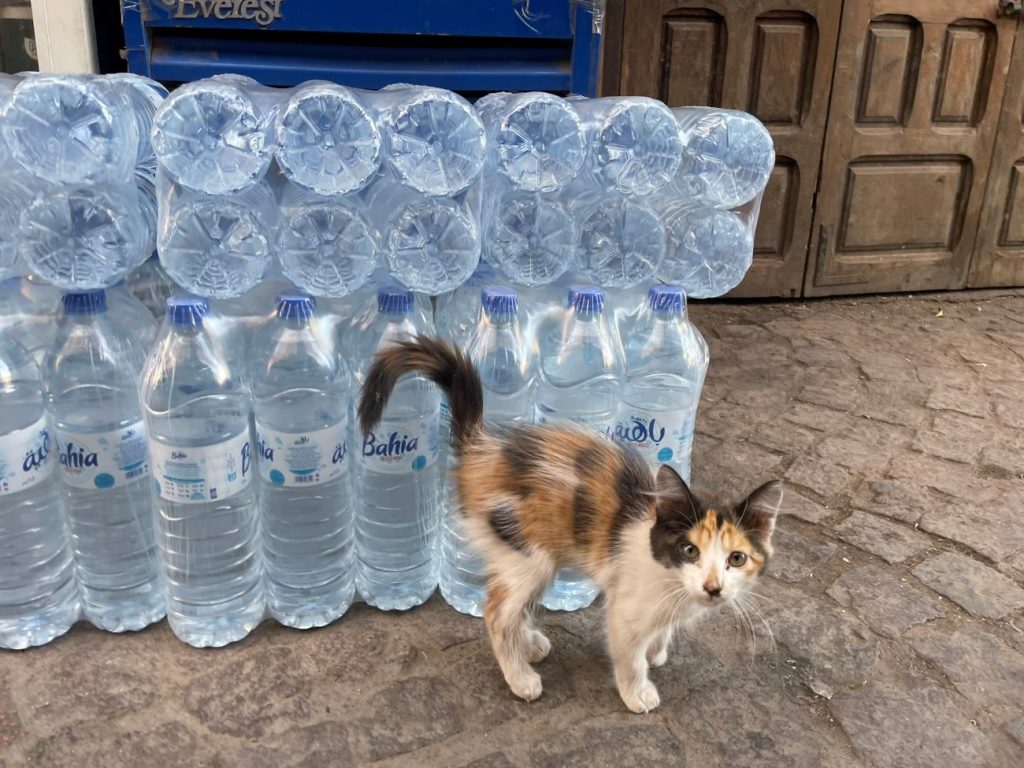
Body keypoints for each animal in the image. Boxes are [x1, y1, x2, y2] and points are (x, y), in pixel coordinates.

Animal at [360, 335, 782, 716]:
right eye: (690, 550)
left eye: (737, 558)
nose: (713, 588)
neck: (669, 576)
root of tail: (483, 451)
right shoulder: (625, 608)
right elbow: (629, 655)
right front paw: (638, 691)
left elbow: (661, 632)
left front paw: (658, 650)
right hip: (529, 554)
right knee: (497, 612)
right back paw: (521, 678)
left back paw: (529, 644)